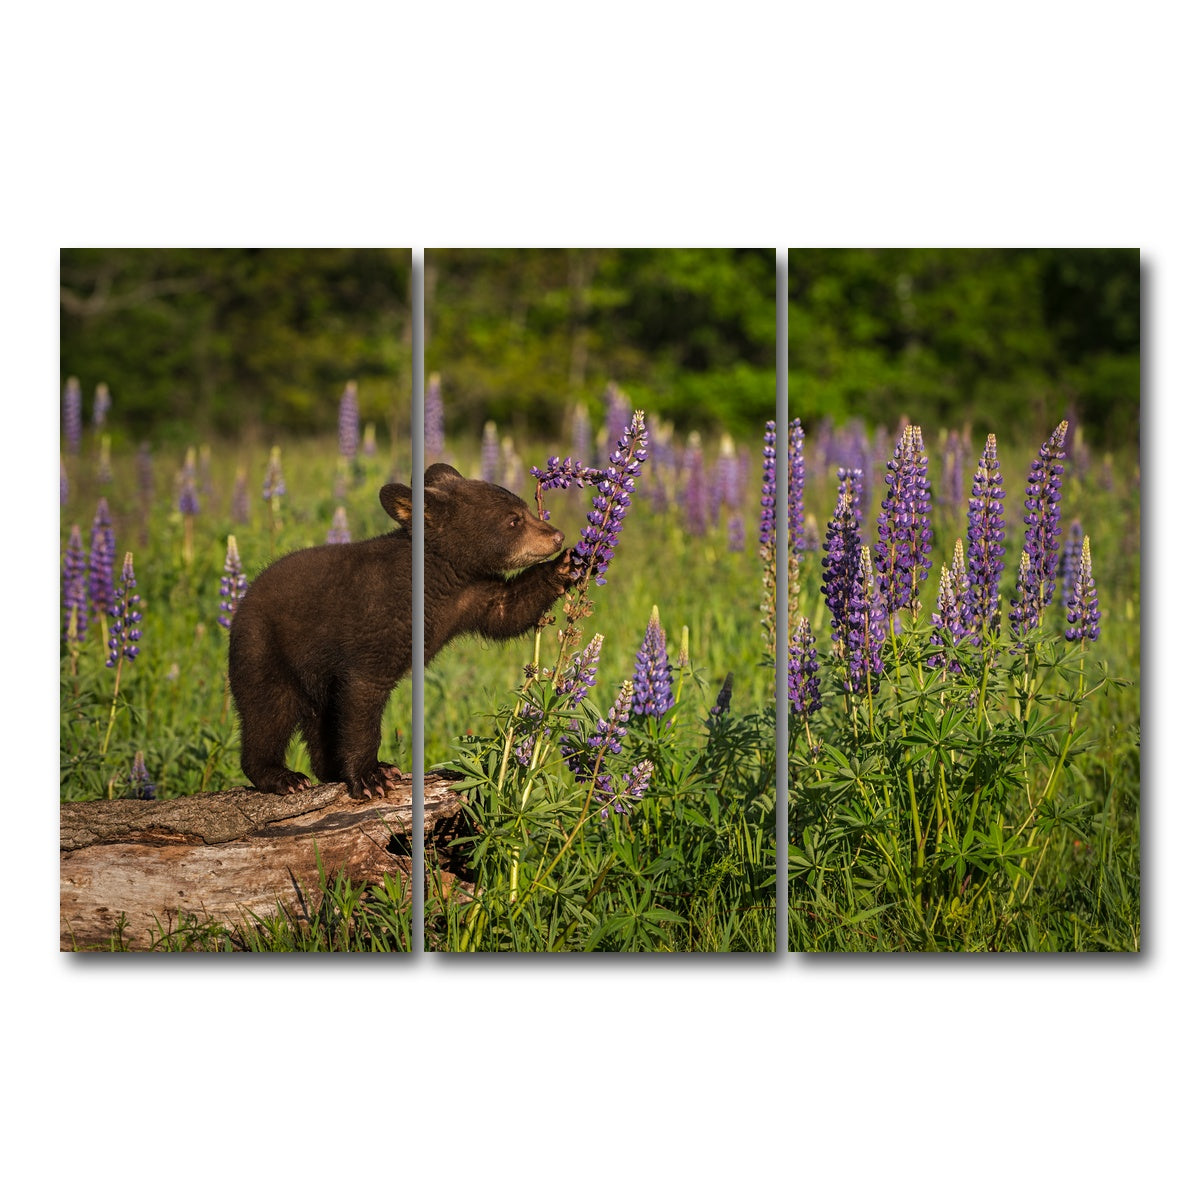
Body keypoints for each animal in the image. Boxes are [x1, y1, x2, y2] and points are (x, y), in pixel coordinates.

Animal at [228, 462, 571, 799]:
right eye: (513, 520)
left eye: (525, 509)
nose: (558, 536)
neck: (439, 578)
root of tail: (241, 604)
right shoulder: (375, 626)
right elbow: (362, 700)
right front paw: (370, 777)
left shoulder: (471, 595)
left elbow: (508, 610)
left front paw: (567, 565)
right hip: (265, 650)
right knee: (268, 712)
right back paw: (283, 777)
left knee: (320, 719)